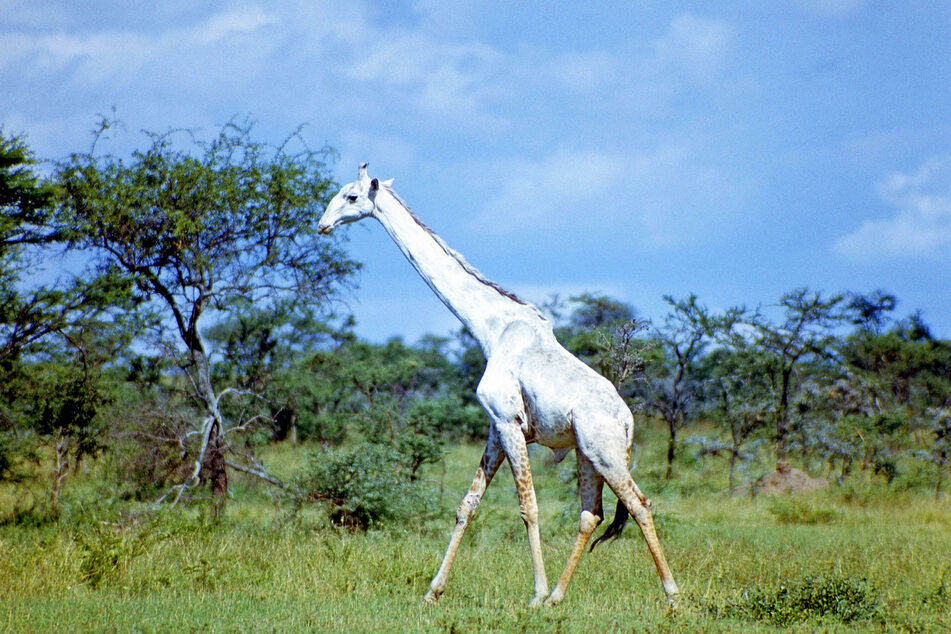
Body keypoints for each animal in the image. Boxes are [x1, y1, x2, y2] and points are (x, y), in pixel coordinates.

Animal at [324, 164, 680, 608]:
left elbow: (529, 507)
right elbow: (468, 505)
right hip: (587, 454)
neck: (491, 329)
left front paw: (533, 595)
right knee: (591, 514)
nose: (322, 224)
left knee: (640, 505)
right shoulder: (496, 427)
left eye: (351, 197)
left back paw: (670, 596)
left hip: (606, 452)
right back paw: (558, 597)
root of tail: (628, 420)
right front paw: (433, 592)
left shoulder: (509, 422)